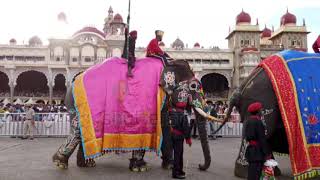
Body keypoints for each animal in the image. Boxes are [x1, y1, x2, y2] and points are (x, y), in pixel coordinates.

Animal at [52, 56, 218, 172]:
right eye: (194, 86)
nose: (200, 166)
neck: (169, 62)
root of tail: (75, 78)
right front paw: (141, 167)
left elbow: (165, 127)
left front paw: (169, 166)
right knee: (77, 131)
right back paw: (60, 163)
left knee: (81, 132)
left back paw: (86, 164)